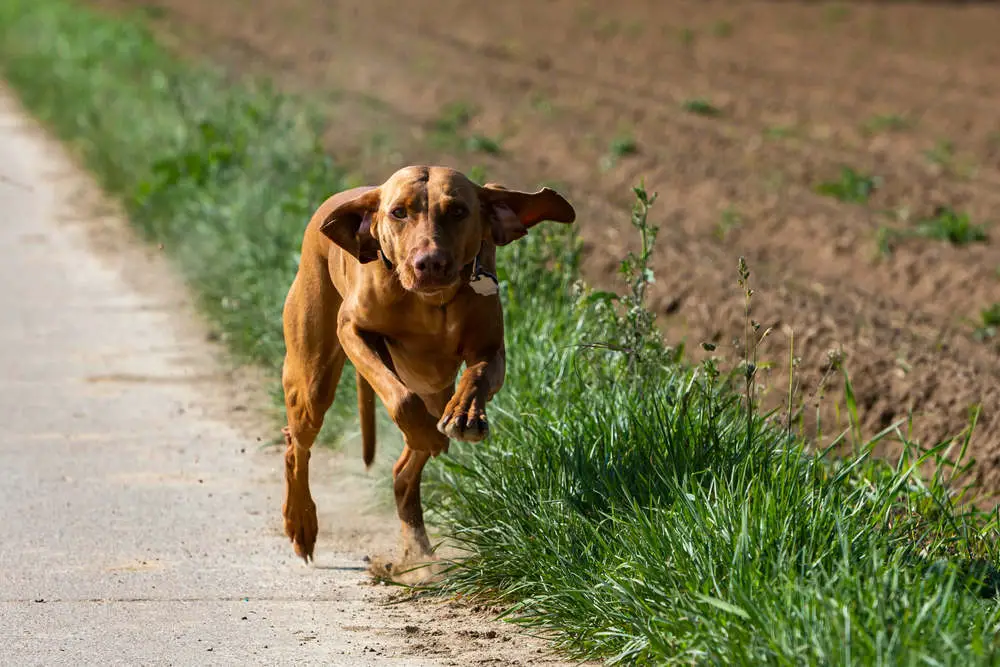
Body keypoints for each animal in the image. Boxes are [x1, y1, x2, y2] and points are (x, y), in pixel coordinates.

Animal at [282, 164, 580, 576]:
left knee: (404, 472)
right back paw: (302, 523)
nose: (430, 263)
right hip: (313, 380)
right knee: (297, 446)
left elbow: (476, 376)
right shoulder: (353, 331)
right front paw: (430, 431)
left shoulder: (491, 351)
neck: (431, 303)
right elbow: (400, 399)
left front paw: (466, 415)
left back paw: (418, 555)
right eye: (398, 213)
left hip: (434, 388)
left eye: (457, 211)